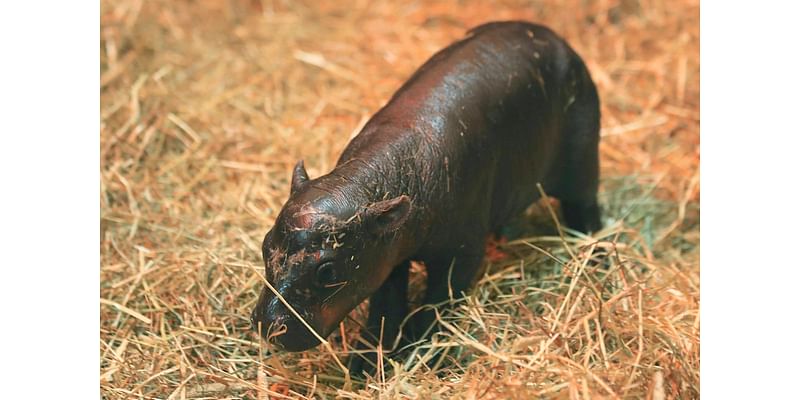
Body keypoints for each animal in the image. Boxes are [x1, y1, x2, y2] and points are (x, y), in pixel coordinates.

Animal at [250, 20, 600, 366]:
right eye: (265, 245)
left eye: (327, 270)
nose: (268, 326)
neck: (363, 184)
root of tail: (556, 38)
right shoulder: (386, 255)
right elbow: (385, 308)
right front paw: (366, 363)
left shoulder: (461, 253)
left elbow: (438, 302)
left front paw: (418, 354)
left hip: (582, 164)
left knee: (586, 209)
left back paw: (594, 256)